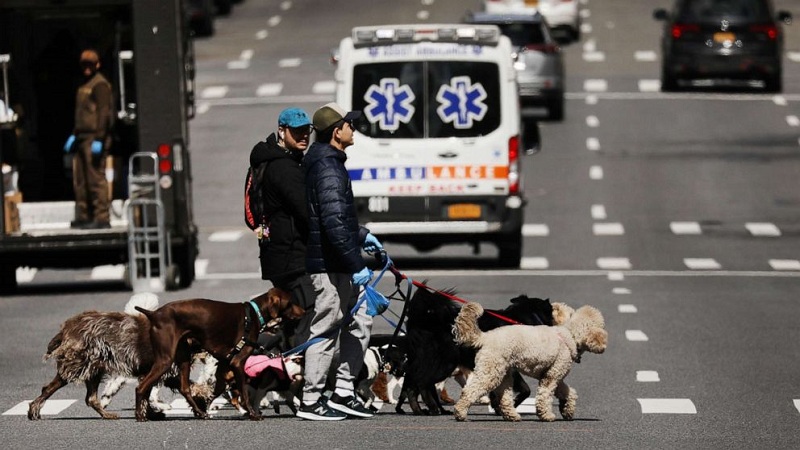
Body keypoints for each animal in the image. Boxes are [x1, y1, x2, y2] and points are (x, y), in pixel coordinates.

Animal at [134, 288, 304, 422]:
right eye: (290, 302)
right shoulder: (237, 363)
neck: (255, 314)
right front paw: (253, 414)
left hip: (183, 359)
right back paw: (140, 415)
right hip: (165, 360)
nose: (304, 311)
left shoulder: (225, 367)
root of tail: (154, 314)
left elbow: (217, 394)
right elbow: (244, 394)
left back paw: (200, 413)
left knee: (184, 388)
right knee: (141, 387)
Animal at [396, 286, 552, 416]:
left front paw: (497, 406)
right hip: (444, 364)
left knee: (413, 386)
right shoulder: (509, 367)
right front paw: (510, 404)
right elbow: (526, 389)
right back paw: (433, 409)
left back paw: (419, 410)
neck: (519, 319)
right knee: (422, 383)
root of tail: (420, 321)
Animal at [454, 302, 604, 422]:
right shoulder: (551, 377)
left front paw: (567, 410)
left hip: (503, 373)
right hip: (490, 371)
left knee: (504, 397)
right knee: (469, 391)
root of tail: (486, 336)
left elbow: (569, 392)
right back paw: (460, 413)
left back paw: (511, 416)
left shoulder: (556, 376)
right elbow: (545, 395)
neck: (569, 335)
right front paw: (546, 415)